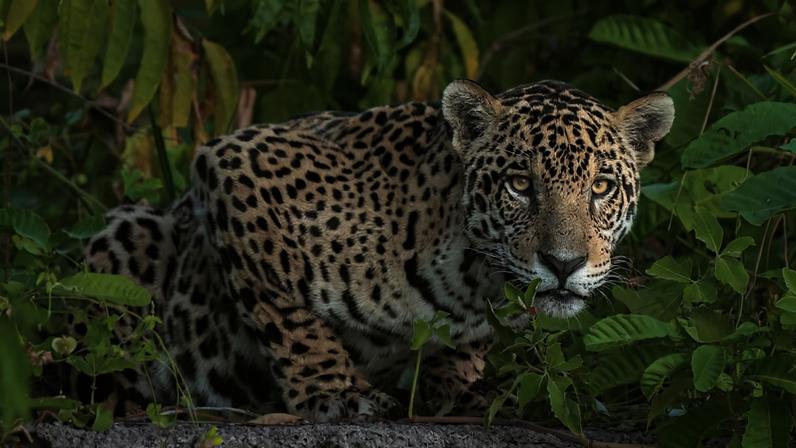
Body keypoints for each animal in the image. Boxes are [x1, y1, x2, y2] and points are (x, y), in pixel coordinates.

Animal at [83, 79, 674, 421]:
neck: (471, 273)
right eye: (519, 185)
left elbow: (466, 345)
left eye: (601, 187)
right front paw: (334, 392)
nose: (563, 264)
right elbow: (289, 319)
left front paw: (456, 383)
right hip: (127, 233)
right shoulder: (237, 164)